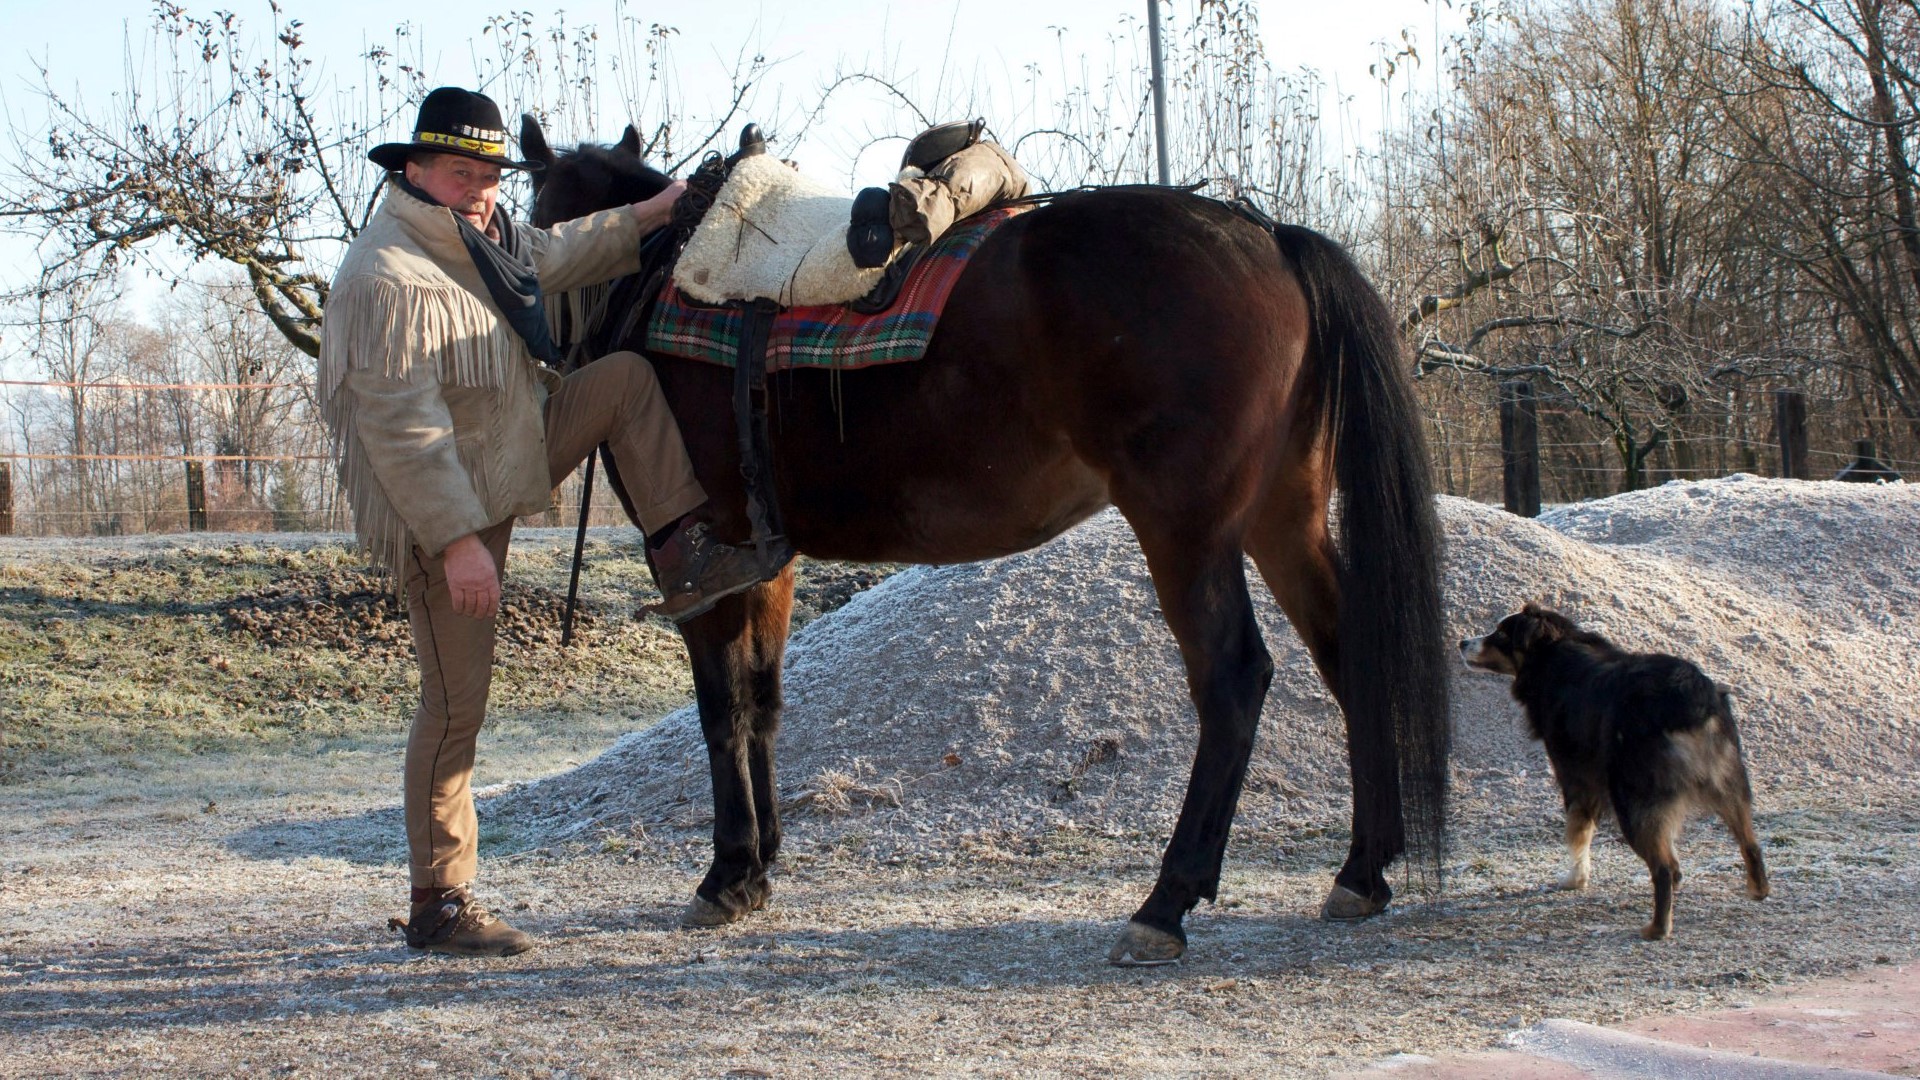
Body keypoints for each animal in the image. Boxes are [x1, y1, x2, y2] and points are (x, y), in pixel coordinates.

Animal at [522, 119, 1451, 965]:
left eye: (534, 216)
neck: (664, 278)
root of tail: (1271, 238)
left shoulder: (700, 560)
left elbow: (721, 710)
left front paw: (727, 874)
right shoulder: (762, 562)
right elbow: (763, 702)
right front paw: (761, 860)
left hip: (1187, 529)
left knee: (1232, 681)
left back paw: (1166, 902)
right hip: (1281, 519)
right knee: (1352, 654)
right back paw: (1362, 870)